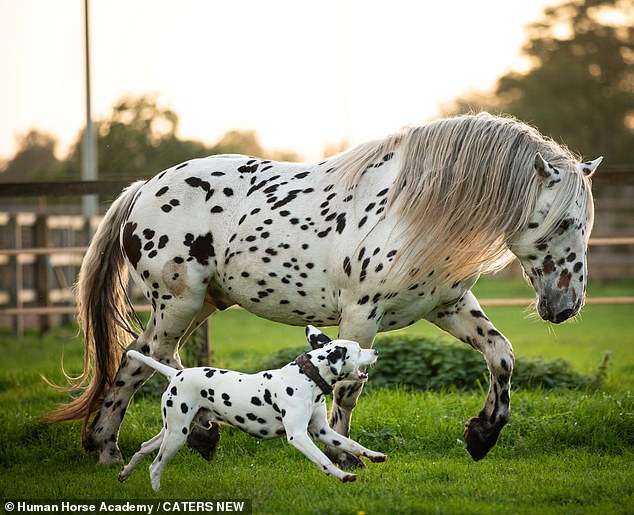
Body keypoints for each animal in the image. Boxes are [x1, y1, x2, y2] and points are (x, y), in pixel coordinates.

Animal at [47, 113, 600, 468]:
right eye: (561, 222)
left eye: (584, 224)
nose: (565, 307)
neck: (413, 211)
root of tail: (144, 187)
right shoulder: (361, 315)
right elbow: (349, 388)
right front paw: (342, 452)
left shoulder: (448, 305)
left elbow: (501, 355)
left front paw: (482, 435)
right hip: (177, 302)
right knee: (155, 357)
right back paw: (177, 436)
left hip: (200, 304)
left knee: (139, 358)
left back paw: (112, 447)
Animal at [119, 326, 386, 492]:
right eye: (358, 349)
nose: (376, 350)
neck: (305, 378)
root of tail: (176, 374)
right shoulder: (299, 436)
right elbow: (323, 460)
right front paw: (343, 476)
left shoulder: (322, 431)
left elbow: (352, 445)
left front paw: (374, 455)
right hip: (176, 436)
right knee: (155, 466)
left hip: (172, 431)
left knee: (144, 448)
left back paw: (124, 473)